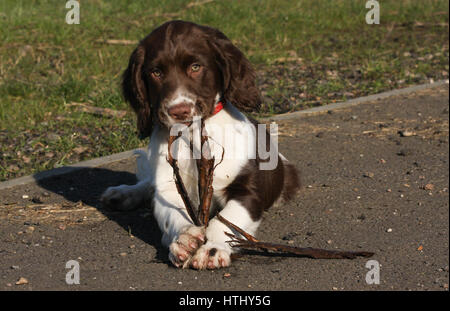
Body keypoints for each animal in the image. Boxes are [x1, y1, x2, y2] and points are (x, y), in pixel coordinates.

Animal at [101, 20, 298, 270]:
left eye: (196, 67)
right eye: (156, 72)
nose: (179, 110)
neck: (192, 134)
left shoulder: (249, 191)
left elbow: (226, 220)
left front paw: (212, 249)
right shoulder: (169, 187)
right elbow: (171, 214)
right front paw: (184, 240)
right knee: (148, 186)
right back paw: (124, 193)